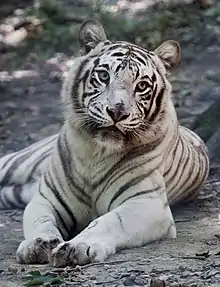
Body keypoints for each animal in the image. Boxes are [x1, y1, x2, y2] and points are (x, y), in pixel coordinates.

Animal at [0, 20, 209, 268]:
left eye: (142, 86)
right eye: (103, 76)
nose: (117, 111)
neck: (95, 152)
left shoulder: (147, 203)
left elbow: (108, 222)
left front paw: (78, 246)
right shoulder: (45, 199)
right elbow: (40, 222)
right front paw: (39, 244)